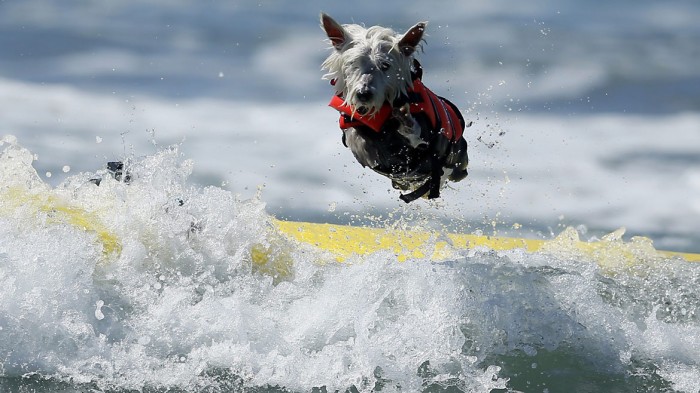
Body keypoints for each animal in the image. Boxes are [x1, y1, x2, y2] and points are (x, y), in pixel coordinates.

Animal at [322, 12, 470, 202]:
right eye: (353, 63)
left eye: (385, 66)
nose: (363, 93)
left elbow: (416, 135)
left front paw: (404, 121)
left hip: (458, 159)